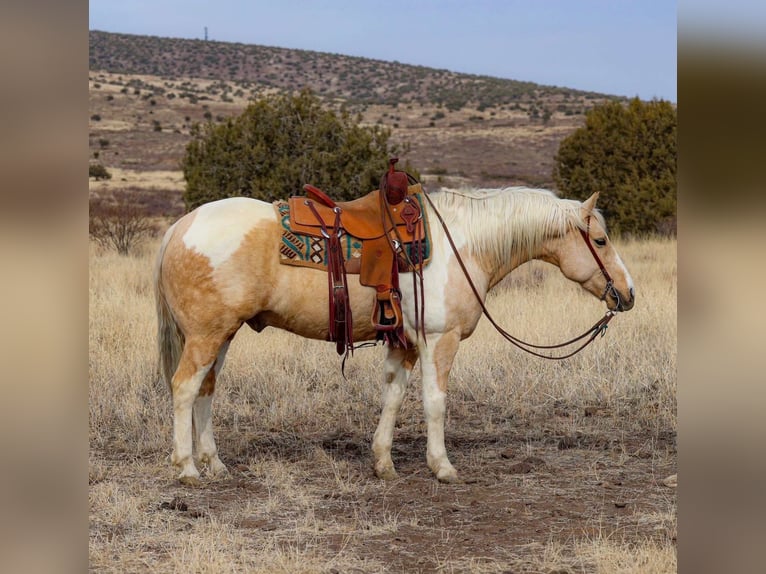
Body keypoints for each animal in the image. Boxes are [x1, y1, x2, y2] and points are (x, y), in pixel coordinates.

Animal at [154, 188, 636, 486]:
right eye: (600, 239)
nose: (628, 293)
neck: (462, 245)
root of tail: (181, 225)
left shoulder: (404, 344)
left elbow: (393, 397)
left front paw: (383, 462)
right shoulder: (439, 340)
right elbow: (434, 402)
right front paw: (442, 467)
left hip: (222, 335)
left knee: (206, 390)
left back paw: (215, 464)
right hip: (207, 335)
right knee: (184, 388)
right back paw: (187, 468)